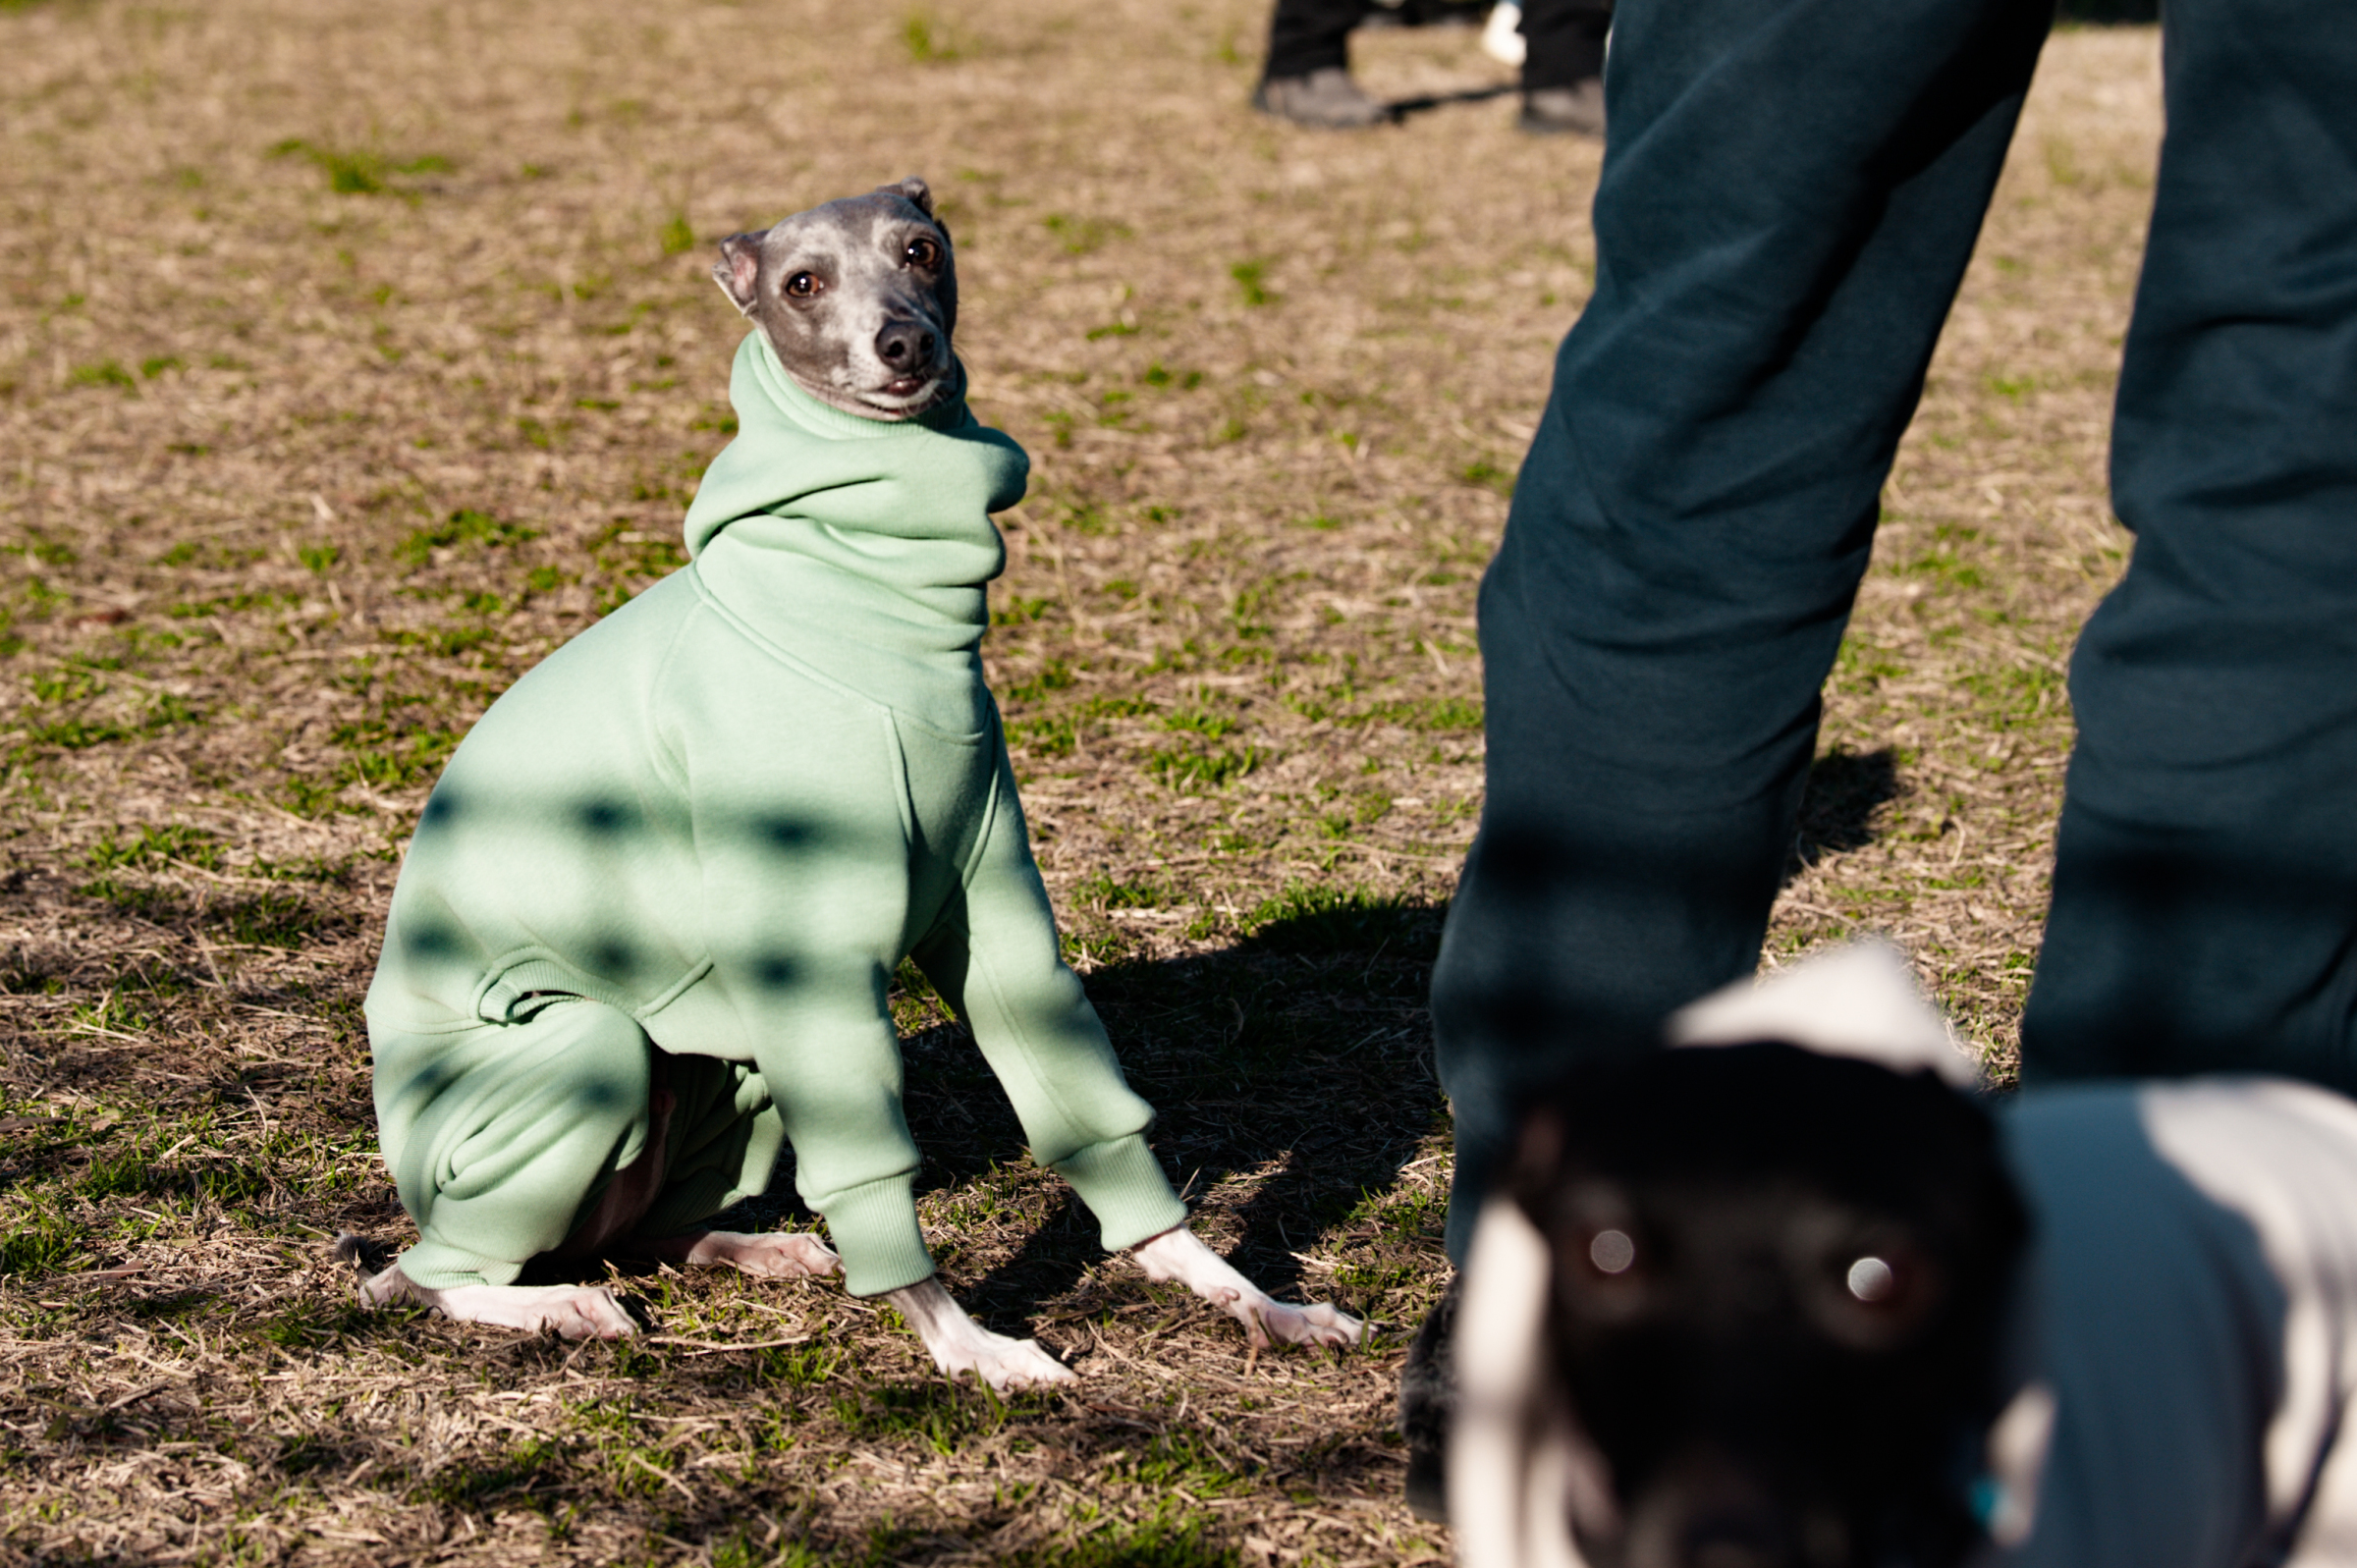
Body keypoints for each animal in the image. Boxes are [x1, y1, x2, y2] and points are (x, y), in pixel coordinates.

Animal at [346, 178, 1361, 1390]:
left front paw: (1252, 1297)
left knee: (645, 1229)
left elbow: (1084, 1107)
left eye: (919, 250)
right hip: (583, 1057)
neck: (873, 593)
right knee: (430, 1275)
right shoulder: (811, 963)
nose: (903, 343)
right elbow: (878, 1174)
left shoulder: (993, 898)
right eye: (802, 282)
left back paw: (754, 1245)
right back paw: (554, 1305)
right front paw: (974, 1346)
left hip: (717, 1058)